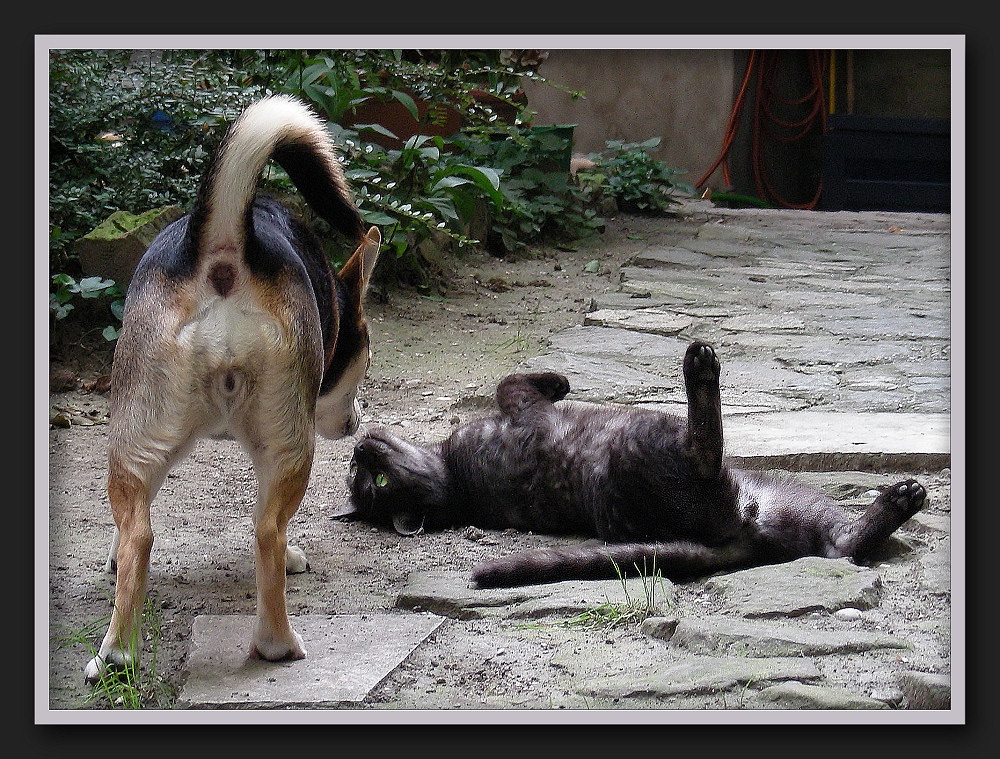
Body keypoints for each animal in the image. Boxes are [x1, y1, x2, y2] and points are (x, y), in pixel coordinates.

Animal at [83, 93, 382, 684]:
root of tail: (224, 246)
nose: (357, 421)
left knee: (139, 535)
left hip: (139, 435)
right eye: (364, 361)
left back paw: (118, 653)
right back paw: (277, 643)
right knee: (268, 531)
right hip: (289, 449)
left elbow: (129, 527)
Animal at [340, 340, 924, 588]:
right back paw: (700, 368)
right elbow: (512, 384)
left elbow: (512, 379)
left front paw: (560, 381)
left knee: (844, 546)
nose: (360, 450)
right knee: (703, 446)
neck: (453, 478)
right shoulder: (519, 412)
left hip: (799, 501)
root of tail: (742, 536)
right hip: (643, 441)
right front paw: (559, 382)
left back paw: (901, 500)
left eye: (364, 477)